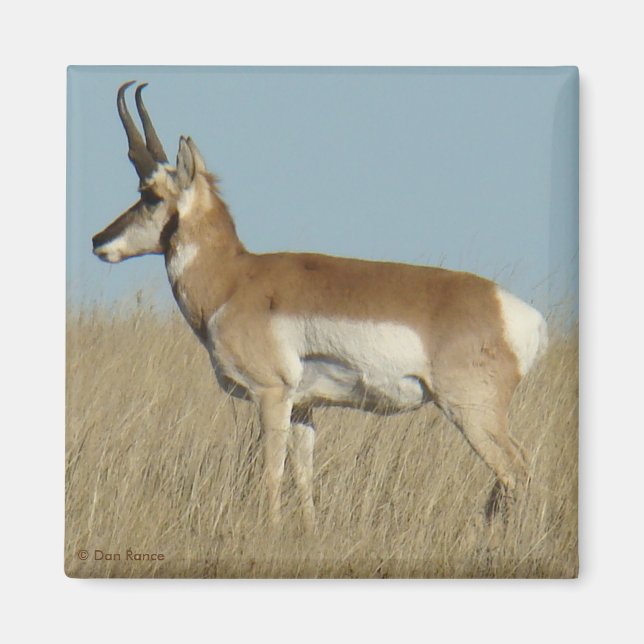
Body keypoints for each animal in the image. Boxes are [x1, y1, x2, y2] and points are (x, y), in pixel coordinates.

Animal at [92, 81, 548, 531]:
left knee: (517, 470)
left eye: (150, 195)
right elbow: (303, 474)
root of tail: (520, 314)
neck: (235, 279)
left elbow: (272, 472)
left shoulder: (272, 395)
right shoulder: (304, 408)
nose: (98, 240)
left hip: (472, 413)